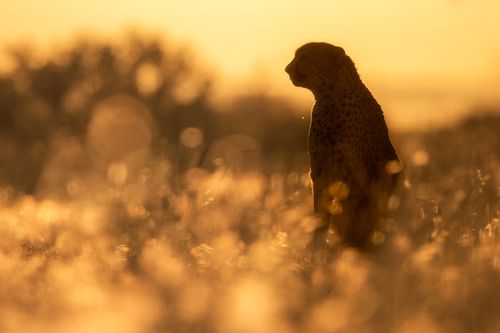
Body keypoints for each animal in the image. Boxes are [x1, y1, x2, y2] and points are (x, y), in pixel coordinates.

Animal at [288, 41, 400, 260]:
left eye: (304, 57)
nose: (287, 69)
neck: (331, 93)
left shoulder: (344, 177)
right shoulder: (321, 174)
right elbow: (322, 218)